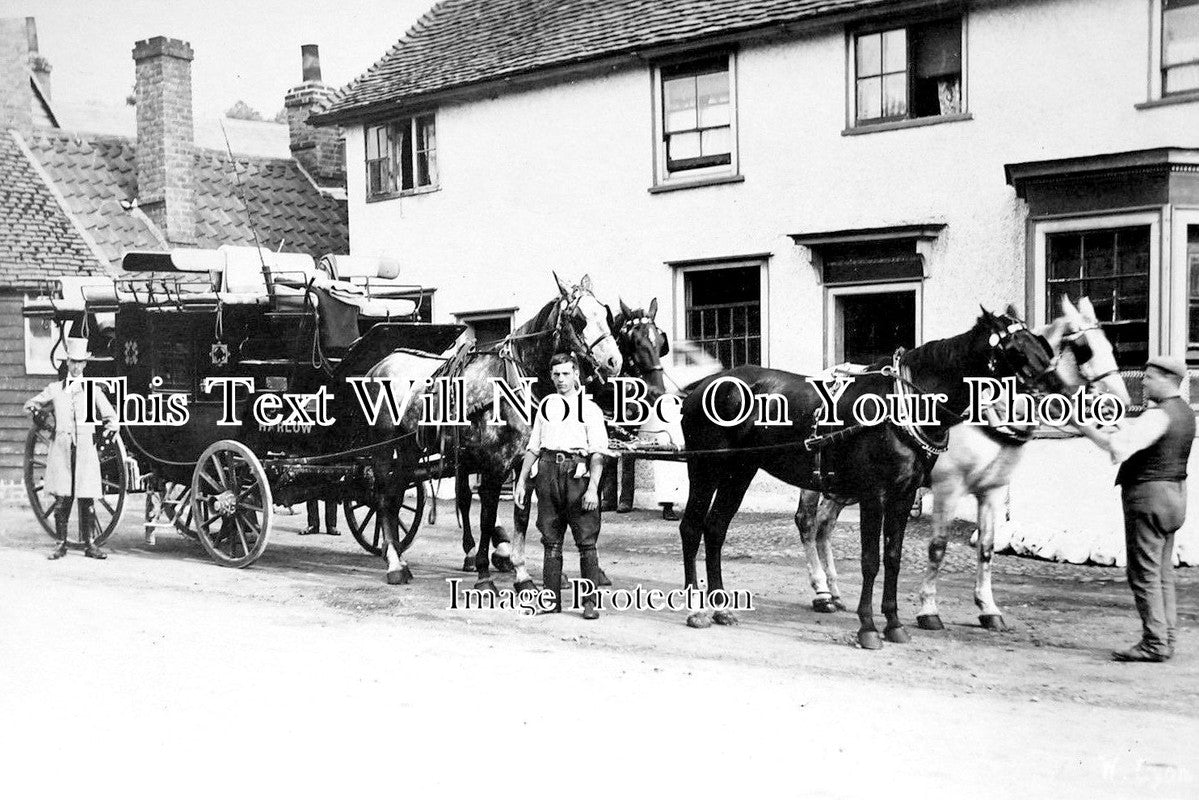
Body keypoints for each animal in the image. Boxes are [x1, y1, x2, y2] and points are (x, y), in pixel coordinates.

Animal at [446, 272, 623, 592]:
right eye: (578, 318)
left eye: (605, 313)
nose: (614, 362)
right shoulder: (495, 465)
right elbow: (487, 514)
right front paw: (485, 574)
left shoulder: (525, 461)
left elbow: (522, 514)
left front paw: (522, 573)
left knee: (464, 498)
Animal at [681, 309, 1064, 652]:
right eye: (1014, 347)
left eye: (1041, 342)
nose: (1057, 389)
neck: (906, 405)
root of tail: (702, 386)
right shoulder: (876, 493)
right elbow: (872, 559)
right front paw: (869, 627)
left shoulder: (905, 495)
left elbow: (895, 557)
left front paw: (894, 623)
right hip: (705, 468)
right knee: (694, 527)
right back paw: (697, 608)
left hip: (739, 471)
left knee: (716, 528)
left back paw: (722, 607)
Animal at [800, 296, 1127, 633]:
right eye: (1084, 348)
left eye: (1111, 343)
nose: (1119, 402)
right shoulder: (948, 487)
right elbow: (938, 546)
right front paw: (928, 609)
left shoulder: (992, 490)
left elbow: (986, 548)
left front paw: (988, 607)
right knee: (808, 522)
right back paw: (822, 591)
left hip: (844, 484)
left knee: (825, 523)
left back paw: (834, 590)